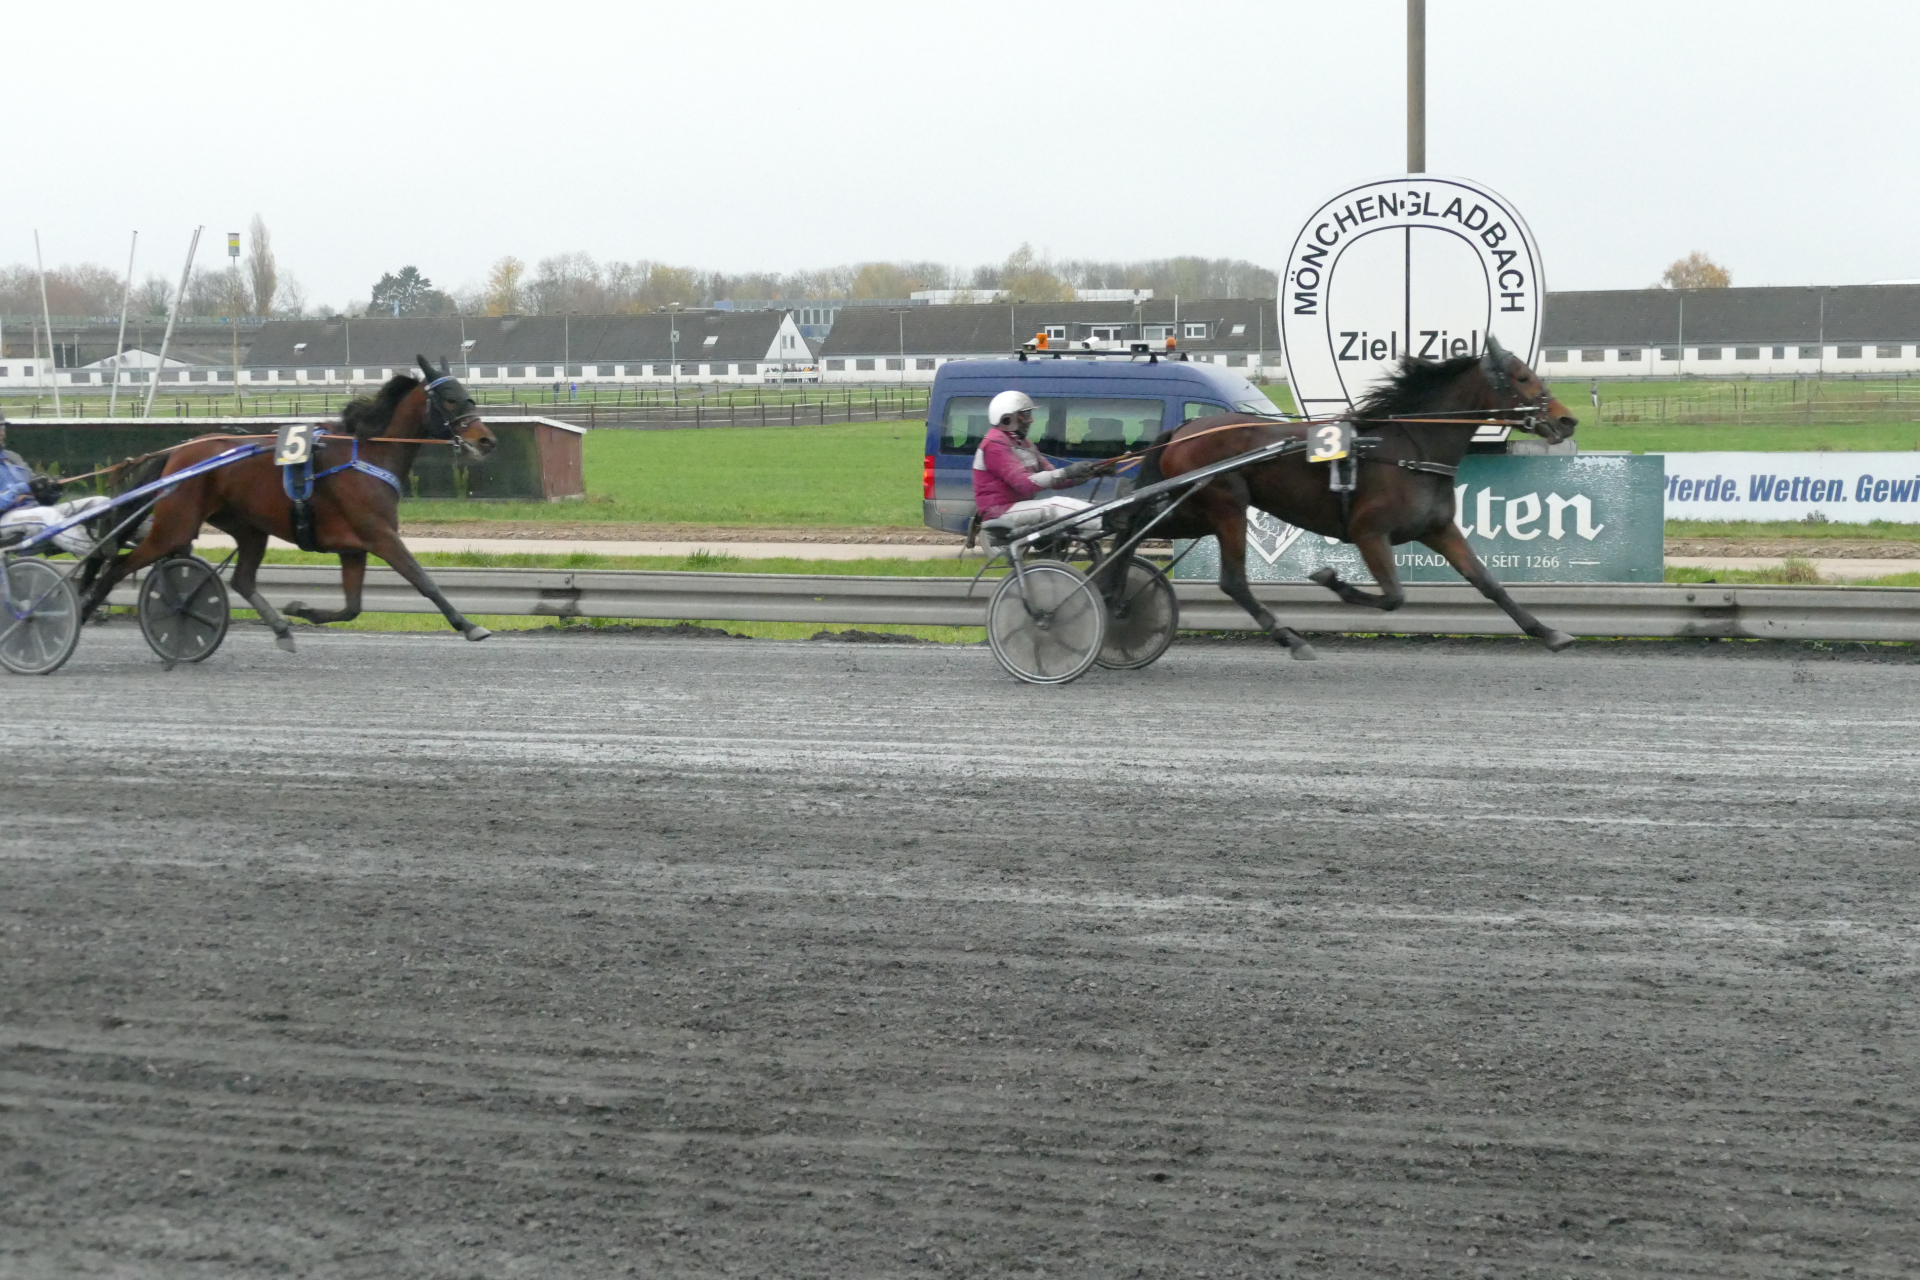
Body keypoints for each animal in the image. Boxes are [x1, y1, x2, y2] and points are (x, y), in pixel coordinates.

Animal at [82, 356, 498, 649]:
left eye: (469, 395)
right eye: (449, 399)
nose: (486, 440)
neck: (367, 456)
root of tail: (177, 453)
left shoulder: (353, 548)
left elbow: (352, 608)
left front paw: (301, 609)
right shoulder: (379, 535)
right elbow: (423, 579)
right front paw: (469, 625)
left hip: (247, 528)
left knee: (241, 579)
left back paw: (281, 628)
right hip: (174, 526)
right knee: (117, 567)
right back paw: (82, 611)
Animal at [1122, 336, 1580, 661]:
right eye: (1522, 377)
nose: (1567, 419)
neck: (1411, 448)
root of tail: (1183, 430)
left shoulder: (1438, 529)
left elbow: (1489, 583)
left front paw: (1550, 632)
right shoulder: (1369, 531)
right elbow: (1394, 597)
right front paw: (1331, 580)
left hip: (1196, 512)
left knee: (1131, 531)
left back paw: (1116, 595)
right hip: (1225, 506)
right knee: (1230, 579)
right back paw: (1290, 638)